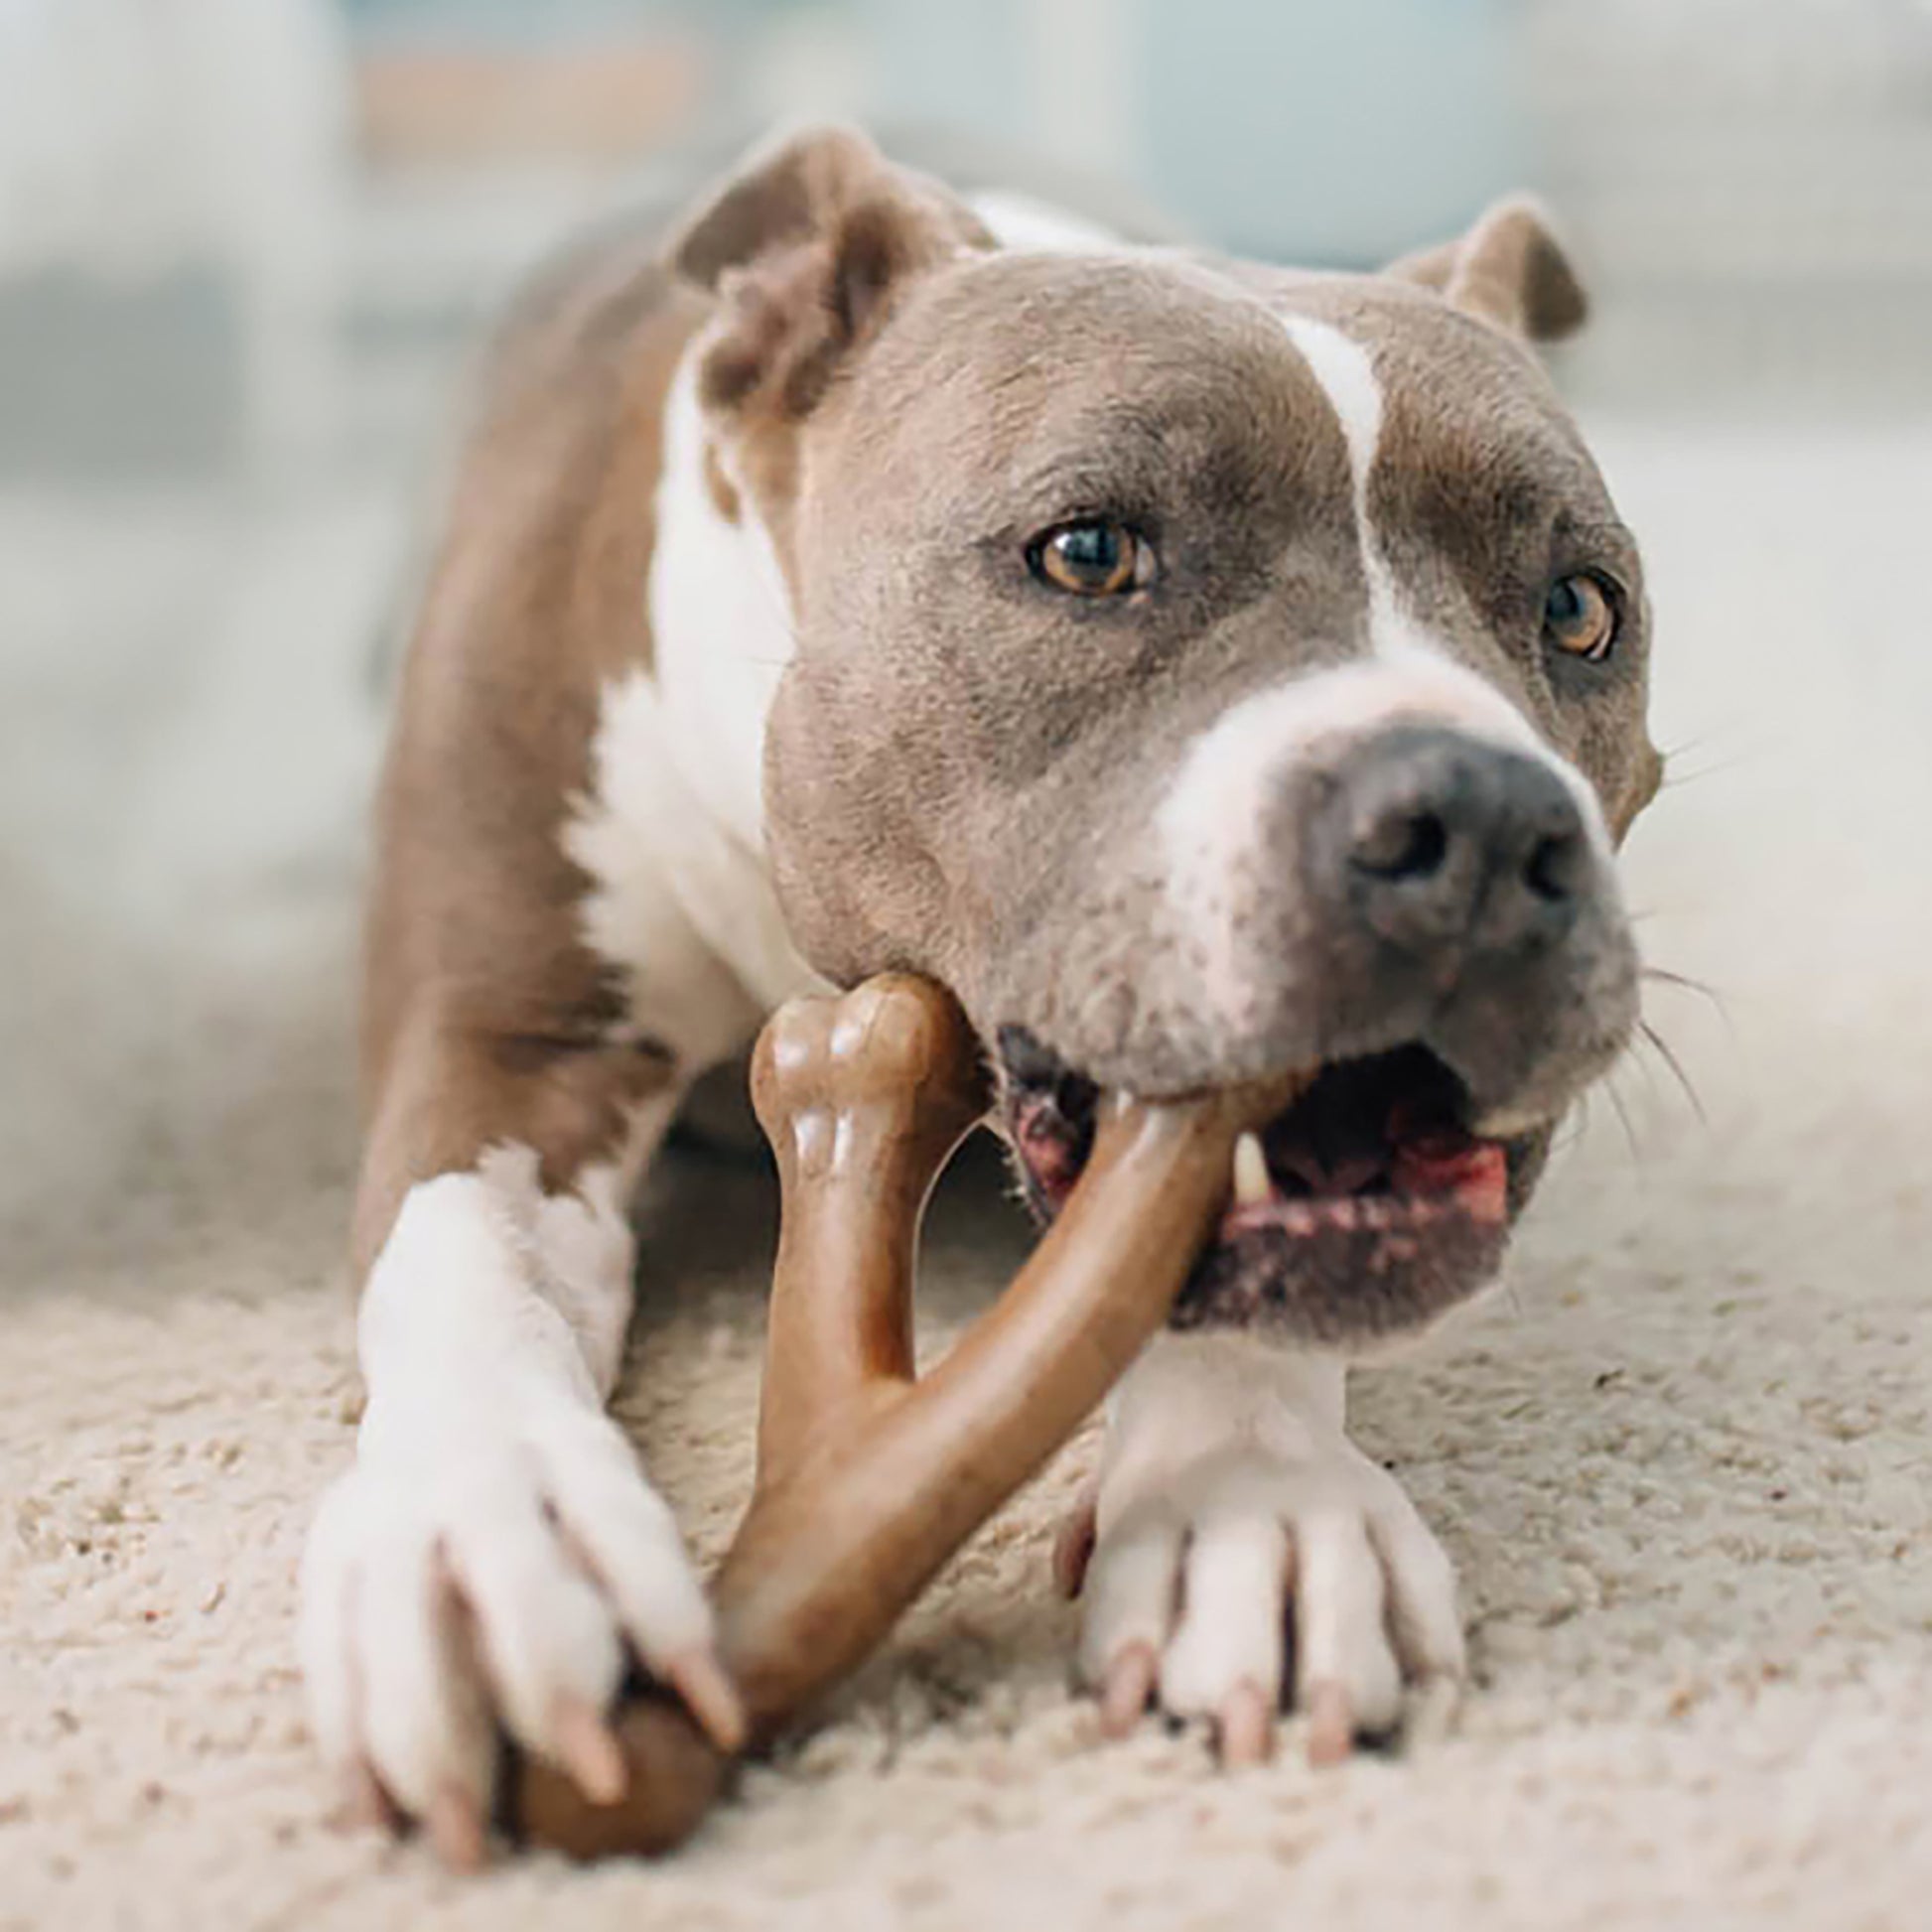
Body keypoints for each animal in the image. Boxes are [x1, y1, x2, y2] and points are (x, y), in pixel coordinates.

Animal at [297, 116, 1661, 1855]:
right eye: (1087, 553)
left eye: (1578, 606)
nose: (1477, 823)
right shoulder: (501, 1038)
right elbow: (459, 1252)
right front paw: (490, 1530)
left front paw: (1255, 1494)